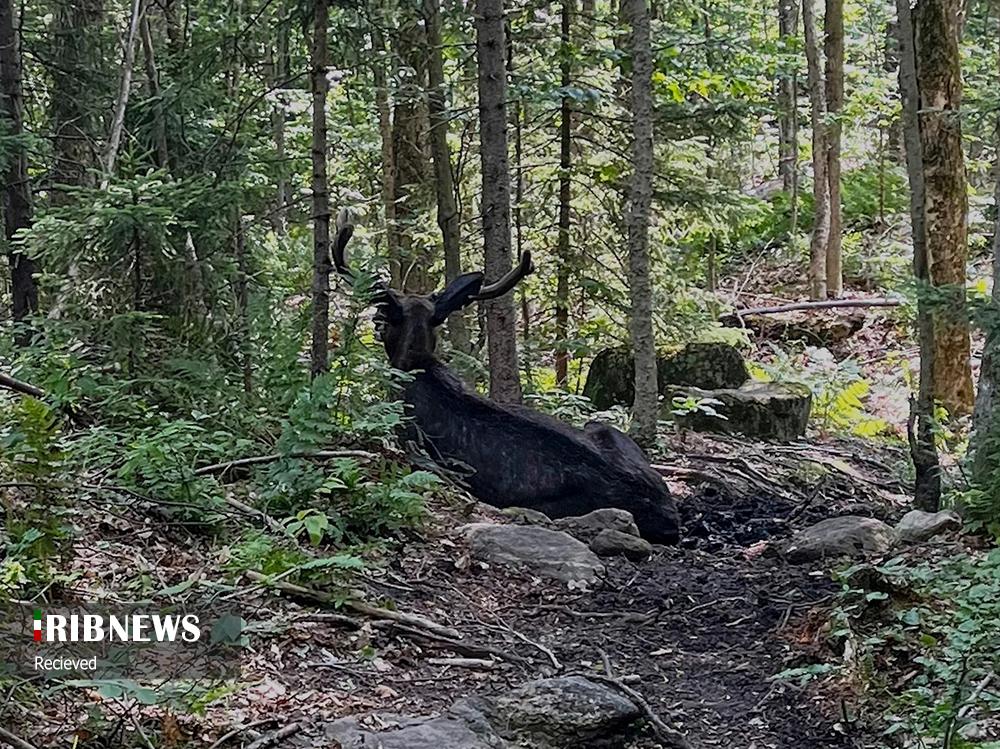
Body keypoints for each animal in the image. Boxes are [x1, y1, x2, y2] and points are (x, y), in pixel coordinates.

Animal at [330, 211, 680, 544]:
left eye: (385, 317)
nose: (375, 322)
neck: (416, 365)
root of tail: (668, 513)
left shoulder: (408, 439)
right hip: (604, 429)